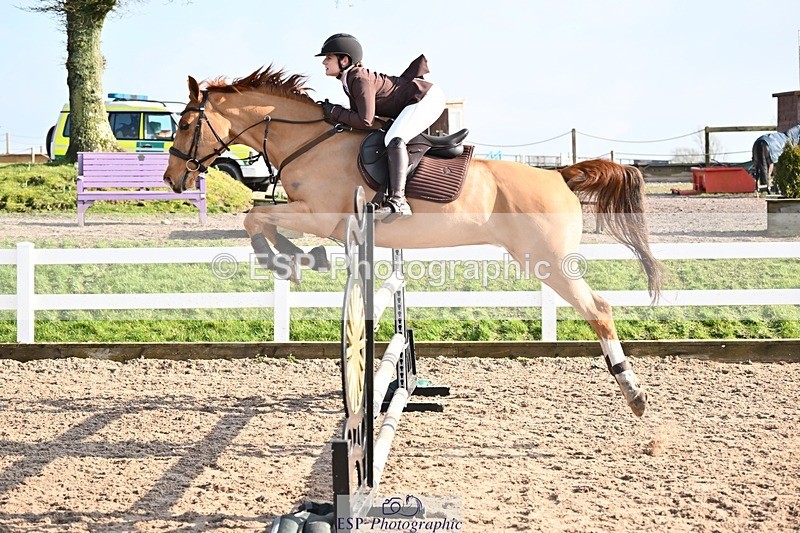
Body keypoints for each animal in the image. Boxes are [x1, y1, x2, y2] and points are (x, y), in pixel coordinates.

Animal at [163, 67, 664, 417]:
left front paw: (290, 259)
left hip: (547, 261)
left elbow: (256, 217)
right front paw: (293, 259)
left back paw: (634, 392)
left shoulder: (321, 215)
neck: (309, 141)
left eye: (185, 124)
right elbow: (258, 218)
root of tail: (559, 174)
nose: (171, 179)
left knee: (599, 309)